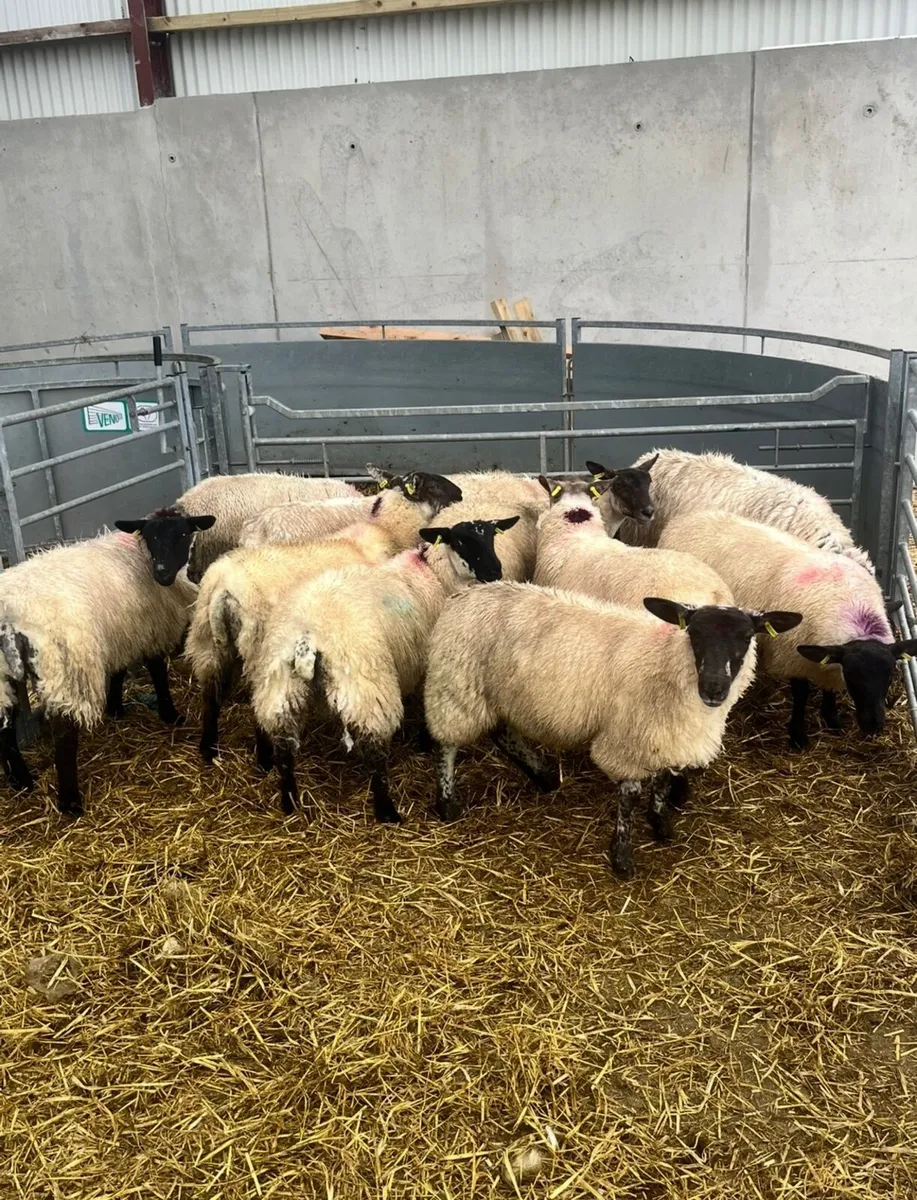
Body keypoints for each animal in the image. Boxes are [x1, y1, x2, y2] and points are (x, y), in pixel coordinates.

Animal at [0, 507, 215, 816]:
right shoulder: (149, 626)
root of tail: (11, 612)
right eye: (151, 536)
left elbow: (118, 671)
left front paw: (115, 707)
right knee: (64, 735)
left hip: (3, 675)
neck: (138, 556)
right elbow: (157, 669)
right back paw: (70, 803)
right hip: (64, 667)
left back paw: (21, 780)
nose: (162, 573)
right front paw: (170, 714)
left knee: (4, 727)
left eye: (183, 534)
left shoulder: (119, 632)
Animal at [250, 516, 519, 818]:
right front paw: (424, 743)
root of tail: (307, 637)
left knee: (284, 748)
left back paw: (290, 802)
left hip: (280, 685)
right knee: (374, 749)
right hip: (367, 683)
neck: (434, 574)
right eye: (460, 540)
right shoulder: (428, 658)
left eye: (493, 535)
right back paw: (387, 812)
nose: (495, 571)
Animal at [423, 583, 800, 877]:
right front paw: (622, 858)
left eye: (746, 636)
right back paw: (447, 802)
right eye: (694, 632)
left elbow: (663, 781)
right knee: (448, 743)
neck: (666, 661)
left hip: (494, 692)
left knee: (503, 734)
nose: (714, 688)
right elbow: (630, 795)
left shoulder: (663, 736)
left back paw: (544, 776)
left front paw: (661, 824)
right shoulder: (628, 738)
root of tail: (463, 594)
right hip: (456, 685)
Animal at [658, 510, 917, 749]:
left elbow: (829, 690)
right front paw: (798, 736)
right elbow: (801, 696)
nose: (873, 725)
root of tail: (688, 517)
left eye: (891, 674)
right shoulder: (793, 656)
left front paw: (832, 718)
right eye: (853, 676)